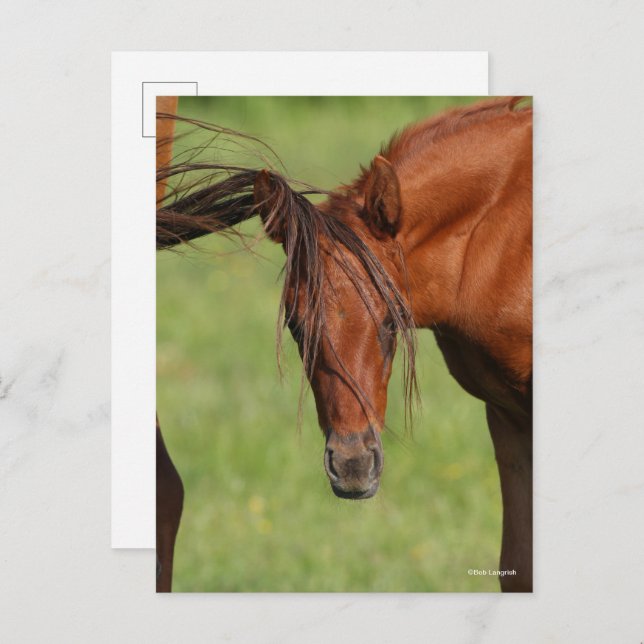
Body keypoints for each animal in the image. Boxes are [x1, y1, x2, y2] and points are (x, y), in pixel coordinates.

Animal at [156, 97, 533, 592]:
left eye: (393, 321)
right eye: (295, 325)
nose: (352, 466)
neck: (503, 235)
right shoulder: (507, 414)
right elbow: (518, 565)